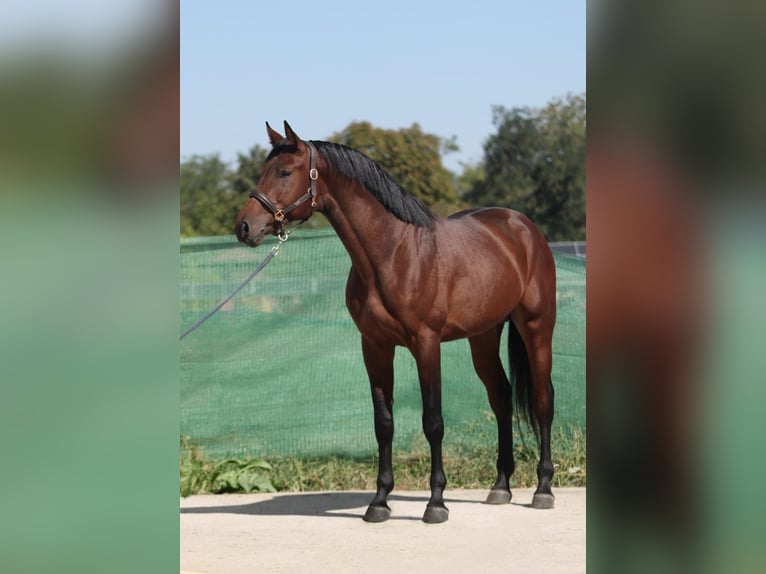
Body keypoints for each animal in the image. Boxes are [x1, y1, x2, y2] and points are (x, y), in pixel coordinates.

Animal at [234, 122, 560, 528]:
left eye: (284, 172)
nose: (244, 227)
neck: (394, 253)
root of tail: (524, 228)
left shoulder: (426, 343)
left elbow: (433, 421)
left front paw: (436, 503)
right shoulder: (374, 346)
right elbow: (384, 423)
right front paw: (379, 502)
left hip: (536, 327)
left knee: (543, 400)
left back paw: (543, 489)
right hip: (483, 337)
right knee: (500, 397)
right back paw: (500, 486)